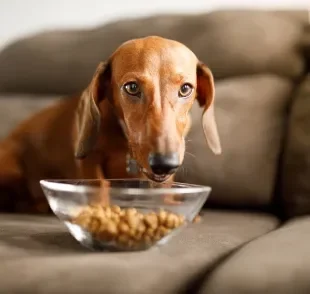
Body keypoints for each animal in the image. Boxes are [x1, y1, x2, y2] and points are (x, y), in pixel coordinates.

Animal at [0, 36, 222, 214]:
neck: (125, 144)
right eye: (132, 87)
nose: (164, 164)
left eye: (185, 88)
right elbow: (99, 185)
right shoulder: (90, 160)